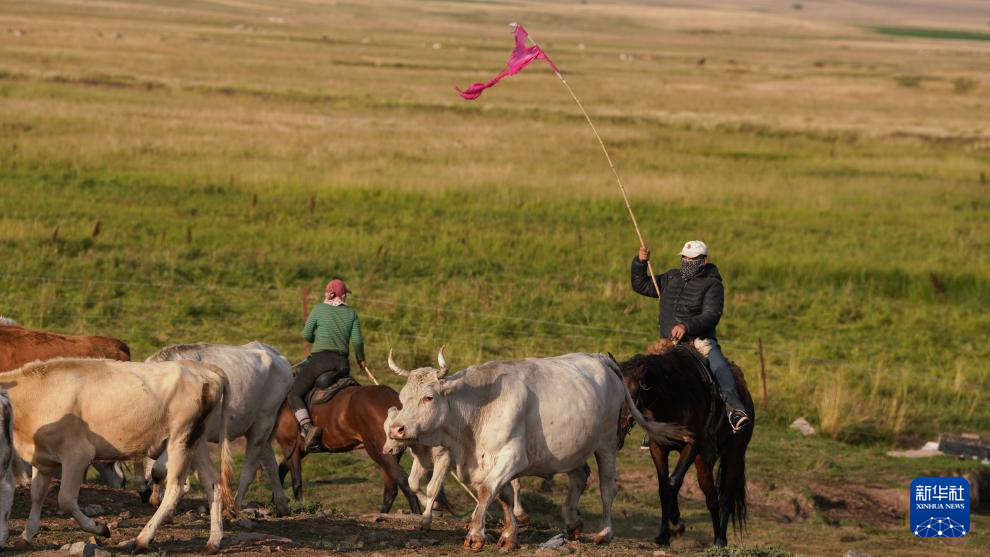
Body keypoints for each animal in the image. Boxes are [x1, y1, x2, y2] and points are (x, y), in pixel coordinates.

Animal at [143, 340, 292, 516]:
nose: (144, 493)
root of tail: (274, 353)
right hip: (260, 429)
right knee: (270, 461)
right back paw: (282, 506)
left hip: (263, 422)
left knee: (249, 468)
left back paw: (234, 507)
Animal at [274, 384, 424, 516]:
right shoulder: (298, 451)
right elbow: (280, 471)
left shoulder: (290, 448)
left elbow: (296, 482)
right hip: (389, 454)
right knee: (391, 489)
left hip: (379, 453)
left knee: (403, 482)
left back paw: (416, 515)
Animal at [386, 348, 688, 548]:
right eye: (402, 396)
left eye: (428, 397)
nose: (396, 429)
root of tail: (599, 357)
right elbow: (504, 495)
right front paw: (509, 535)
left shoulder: (512, 456)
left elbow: (487, 490)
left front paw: (475, 535)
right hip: (572, 447)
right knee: (580, 476)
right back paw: (572, 521)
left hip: (606, 443)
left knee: (606, 487)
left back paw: (604, 532)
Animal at [624, 338, 756, 548]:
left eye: (636, 389)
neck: (674, 394)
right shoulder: (658, 447)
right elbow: (664, 487)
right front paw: (664, 534)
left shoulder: (691, 446)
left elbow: (673, 482)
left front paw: (676, 525)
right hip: (704, 460)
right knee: (711, 497)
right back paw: (715, 536)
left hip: (735, 452)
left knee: (726, 496)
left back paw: (721, 539)